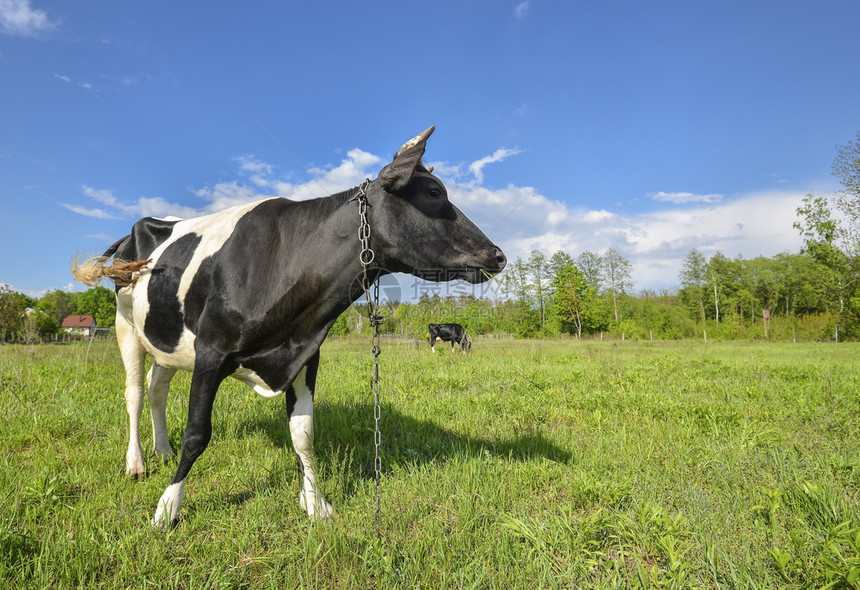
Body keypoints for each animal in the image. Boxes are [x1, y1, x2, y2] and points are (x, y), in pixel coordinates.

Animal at [74, 127, 508, 528]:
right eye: (434, 192)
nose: (499, 255)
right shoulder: (211, 353)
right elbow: (197, 433)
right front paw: (168, 507)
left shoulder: (304, 354)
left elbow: (303, 433)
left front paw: (315, 503)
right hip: (125, 325)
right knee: (134, 392)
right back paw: (137, 463)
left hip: (165, 337)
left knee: (156, 388)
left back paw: (162, 450)